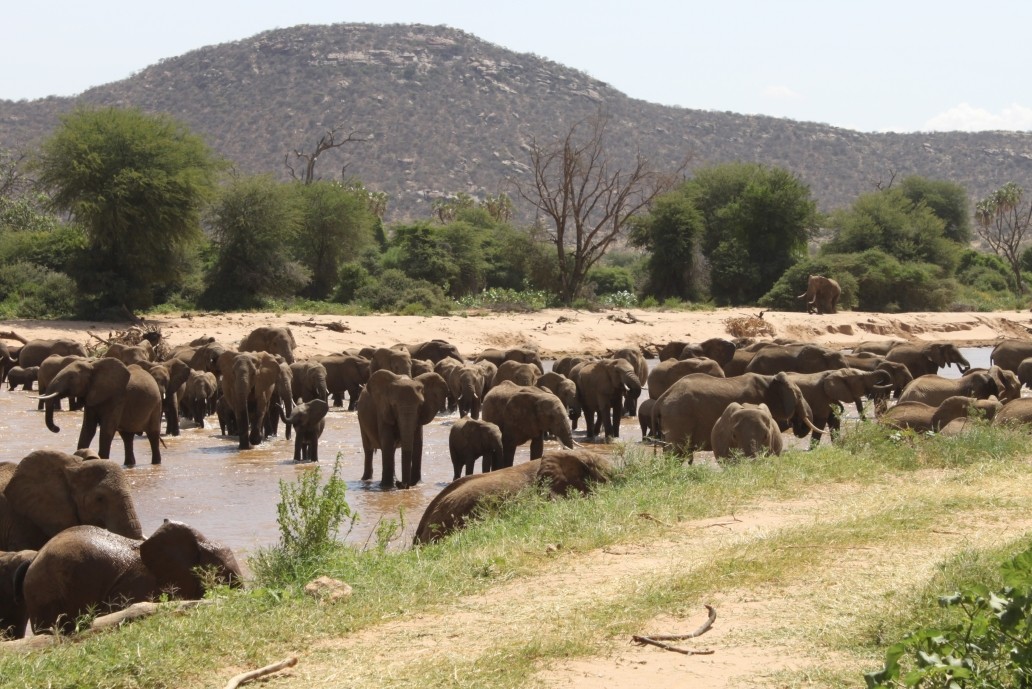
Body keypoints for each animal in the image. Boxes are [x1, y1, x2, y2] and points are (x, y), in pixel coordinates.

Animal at [652, 371, 821, 457]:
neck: (770, 379)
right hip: (678, 418)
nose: (798, 425)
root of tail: (660, 400)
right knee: (676, 452)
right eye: (799, 396)